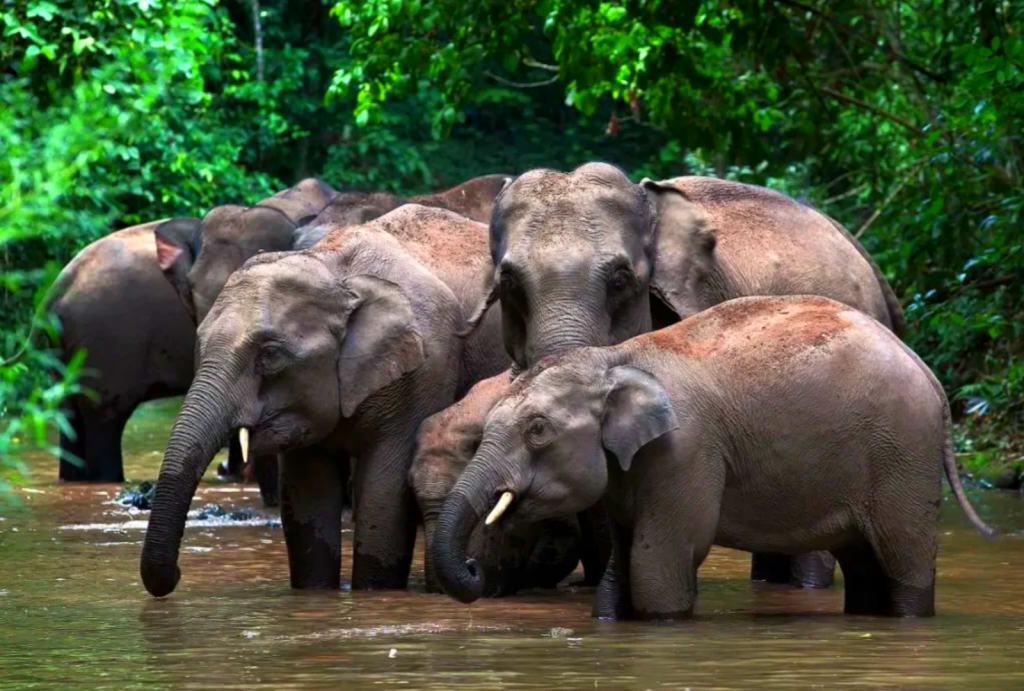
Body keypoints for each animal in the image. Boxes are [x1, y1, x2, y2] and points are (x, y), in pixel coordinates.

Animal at [140, 205, 509, 598]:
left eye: (270, 355)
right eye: (199, 343)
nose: (179, 573)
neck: (335, 270)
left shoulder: (426, 369)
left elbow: (382, 492)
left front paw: (371, 593)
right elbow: (309, 495)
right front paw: (316, 593)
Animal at [434, 295, 996, 620]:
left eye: (537, 430)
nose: (475, 567)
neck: (614, 358)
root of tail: (928, 371)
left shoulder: (686, 451)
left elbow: (661, 561)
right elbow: (622, 563)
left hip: (903, 454)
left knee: (903, 559)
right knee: (863, 565)